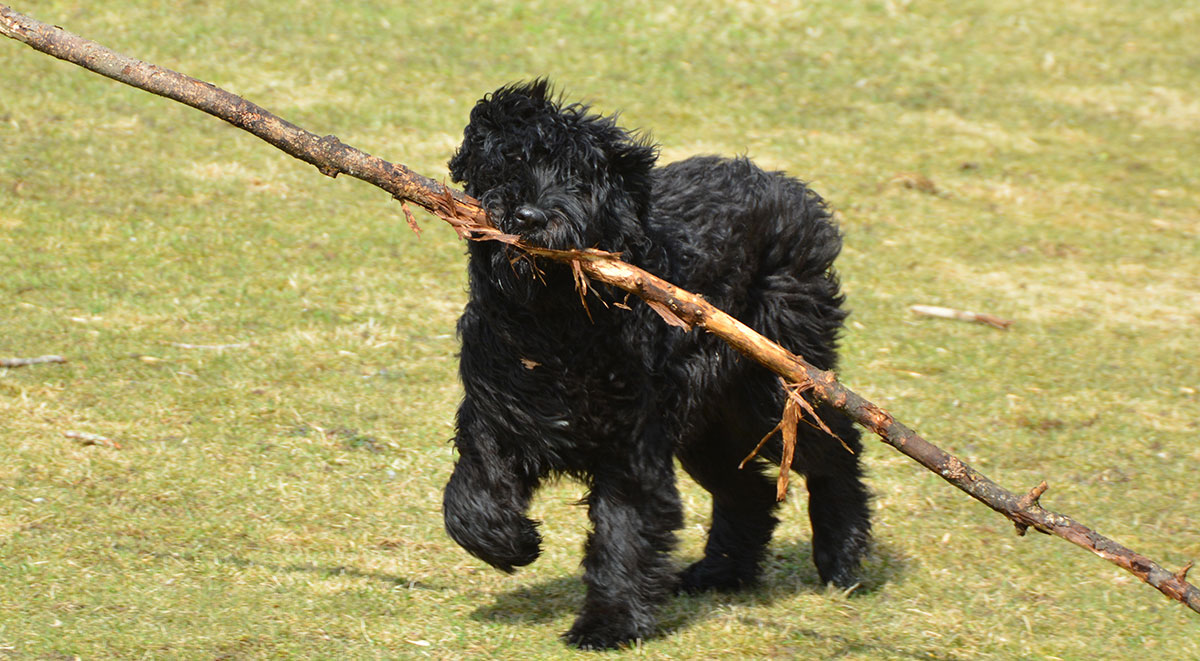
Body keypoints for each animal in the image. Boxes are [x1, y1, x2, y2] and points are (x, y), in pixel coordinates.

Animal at [441, 80, 873, 647]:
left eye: (579, 178)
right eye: (510, 162)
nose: (528, 217)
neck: (556, 325)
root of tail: (788, 189)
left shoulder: (632, 444)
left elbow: (624, 531)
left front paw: (609, 622)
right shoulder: (497, 413)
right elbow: (469, 498)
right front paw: (513, 543)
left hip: (771, 392)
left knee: (837, 451)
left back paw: (843, 558)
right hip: (711, 423)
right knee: (750, 490)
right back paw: (720, 572)